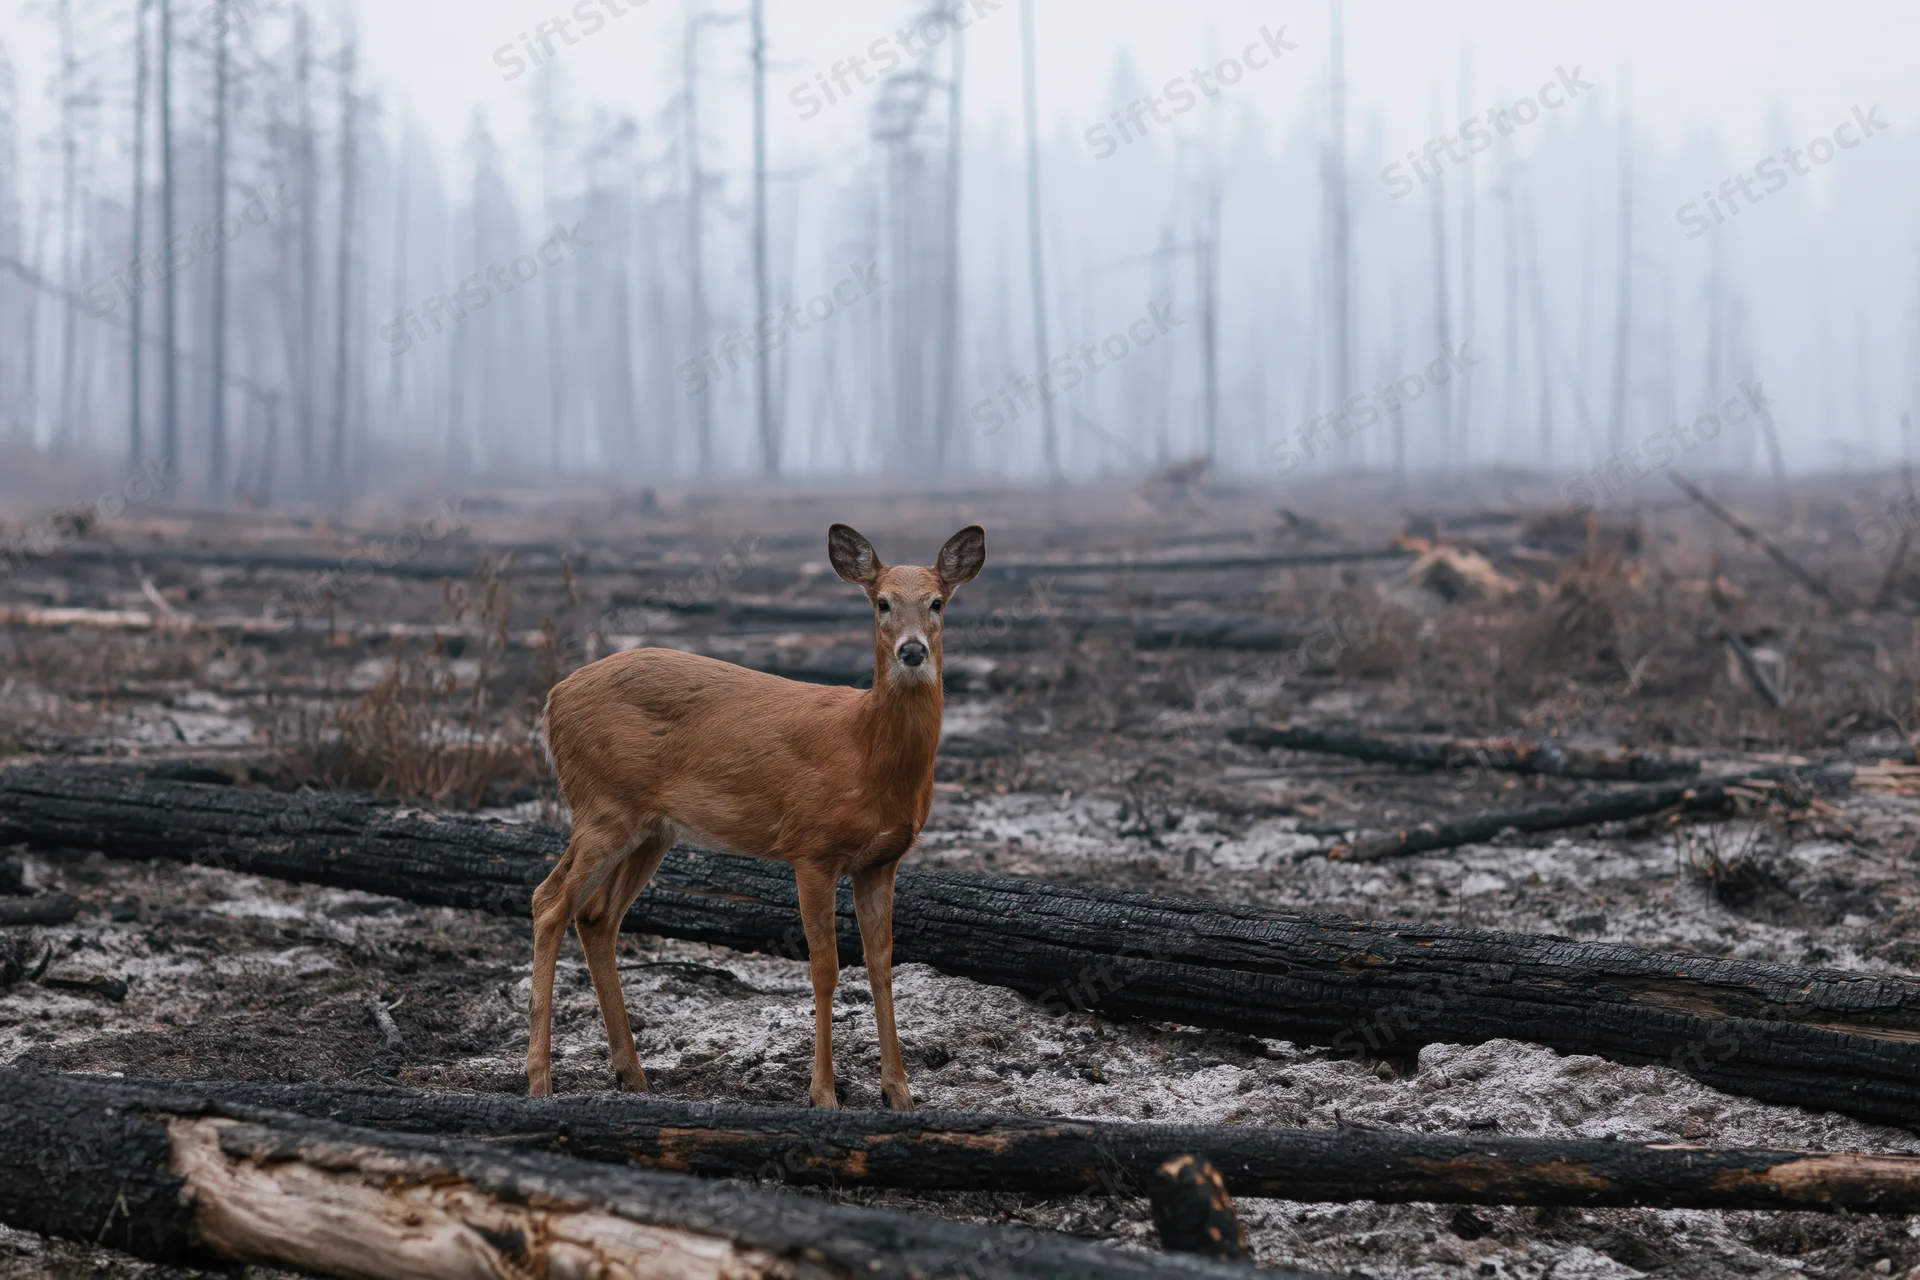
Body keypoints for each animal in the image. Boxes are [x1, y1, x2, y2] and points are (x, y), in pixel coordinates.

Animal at [527, 523, 986, 1110]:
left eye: (937, 602)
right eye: (881, 602)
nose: (911, 650)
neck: (863, 750)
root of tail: (552, 699)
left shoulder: (881, 860)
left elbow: (882, 966)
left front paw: (899, 1093)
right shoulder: (811, 847)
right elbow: (824, 969)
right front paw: (823, 1093)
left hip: (650, 828)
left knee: (595, 917)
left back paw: (632, 1074)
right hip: (602, 805)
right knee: (549, 901)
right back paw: (540, 1080)